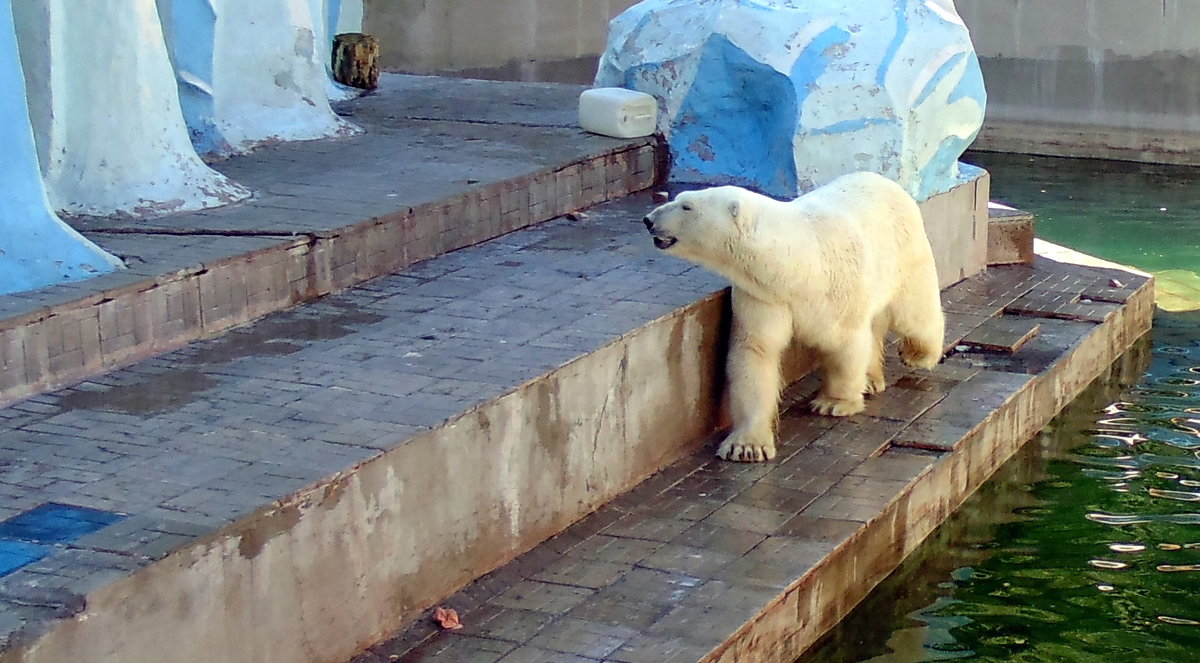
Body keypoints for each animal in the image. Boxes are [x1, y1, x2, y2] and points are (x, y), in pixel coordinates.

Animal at [643, 170, 940, 461]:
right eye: (678, 198)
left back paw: (919, 354)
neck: (800, 265)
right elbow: (756, 352)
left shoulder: (838, 290)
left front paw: (834, 403)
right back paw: (871, 379)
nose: (648, 220)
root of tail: (886, 181)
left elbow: (846, 343)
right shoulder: (765, 297)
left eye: (686, 206)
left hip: (905, 252)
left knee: (914, 313)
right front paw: (747, 446)